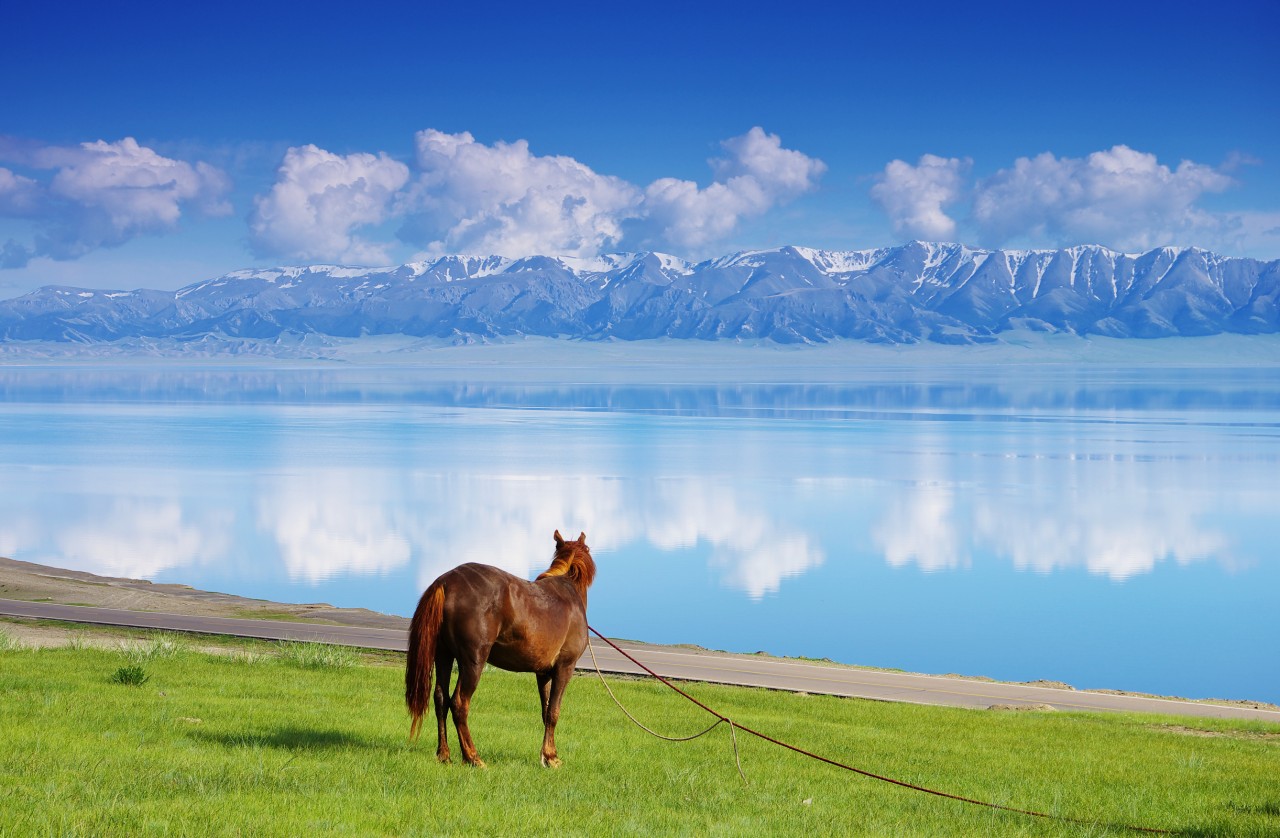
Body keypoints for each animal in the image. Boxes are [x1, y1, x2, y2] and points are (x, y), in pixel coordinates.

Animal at [401, 532, 596, 767]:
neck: (568, 592)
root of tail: (446, 582)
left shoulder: (543, 674)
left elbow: (546, 710)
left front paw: (546, 755)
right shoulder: (564, 667)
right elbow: (554, 712)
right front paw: (552, 757)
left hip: (444, 656)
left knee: (441, 699)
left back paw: (444, 754)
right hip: (473, 662)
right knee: (459, 703)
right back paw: (473, 757)